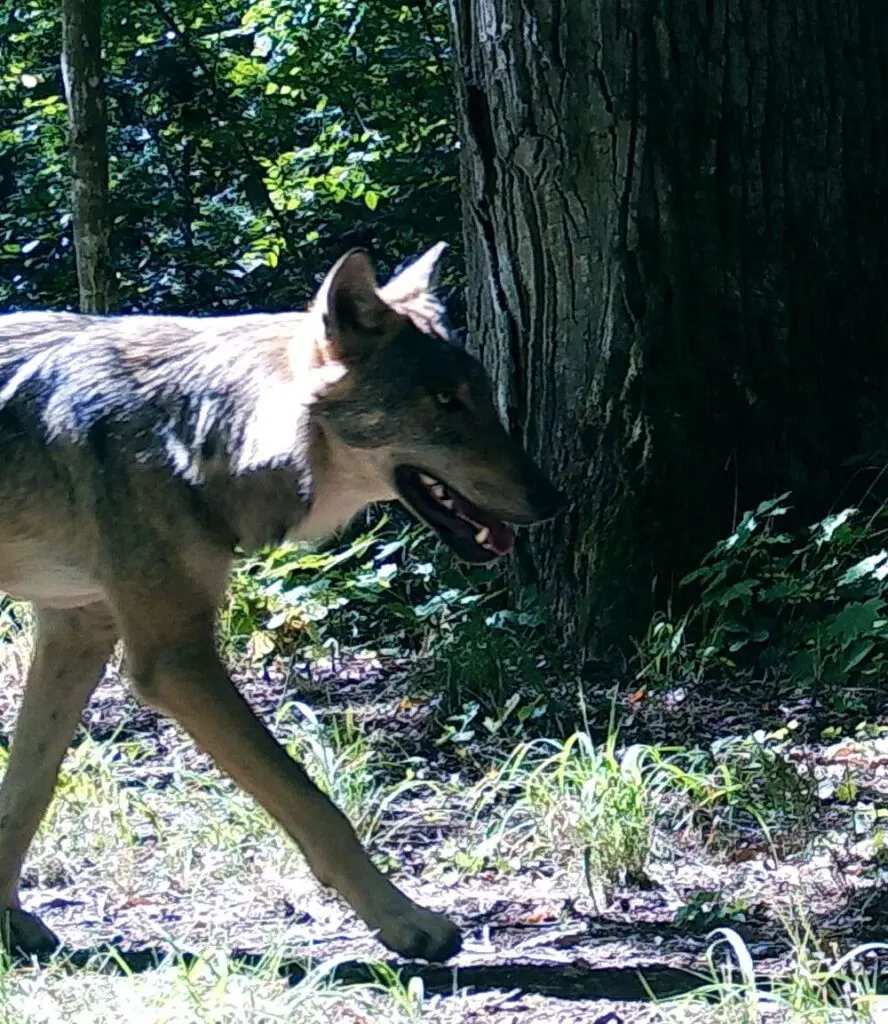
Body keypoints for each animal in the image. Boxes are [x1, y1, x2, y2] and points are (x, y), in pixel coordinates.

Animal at [0, 243, 563, 963]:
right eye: (443, 400)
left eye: (483, 398)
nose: (554, 499)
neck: (199, 432)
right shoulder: (174, 659)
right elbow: (313, 802)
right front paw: (406, 920)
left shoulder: (78, 625)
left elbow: (27, 789)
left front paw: (7, 921)